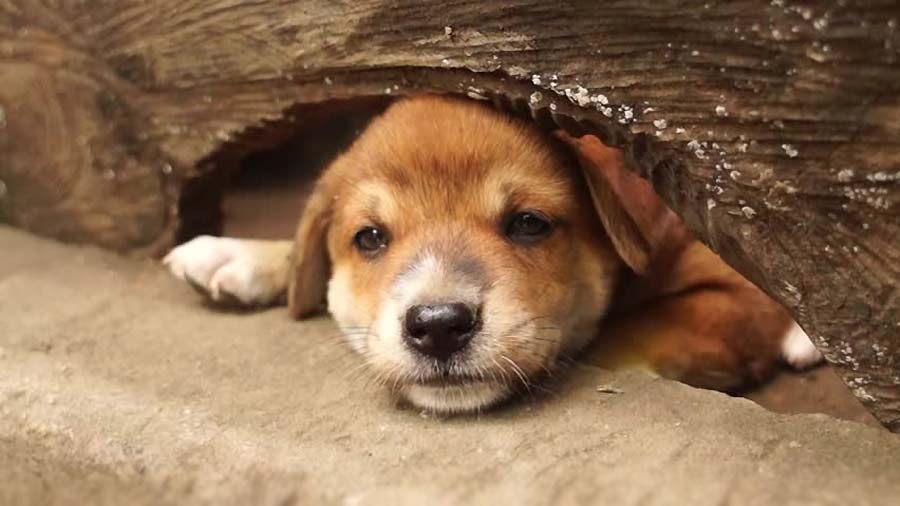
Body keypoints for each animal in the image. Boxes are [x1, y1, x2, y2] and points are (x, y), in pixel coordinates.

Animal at [163, 96, 824, 416]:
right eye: (370, 238)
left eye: (529, 223)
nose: (437, 327)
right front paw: (241, 256)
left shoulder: (730, 300)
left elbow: (607, 340)